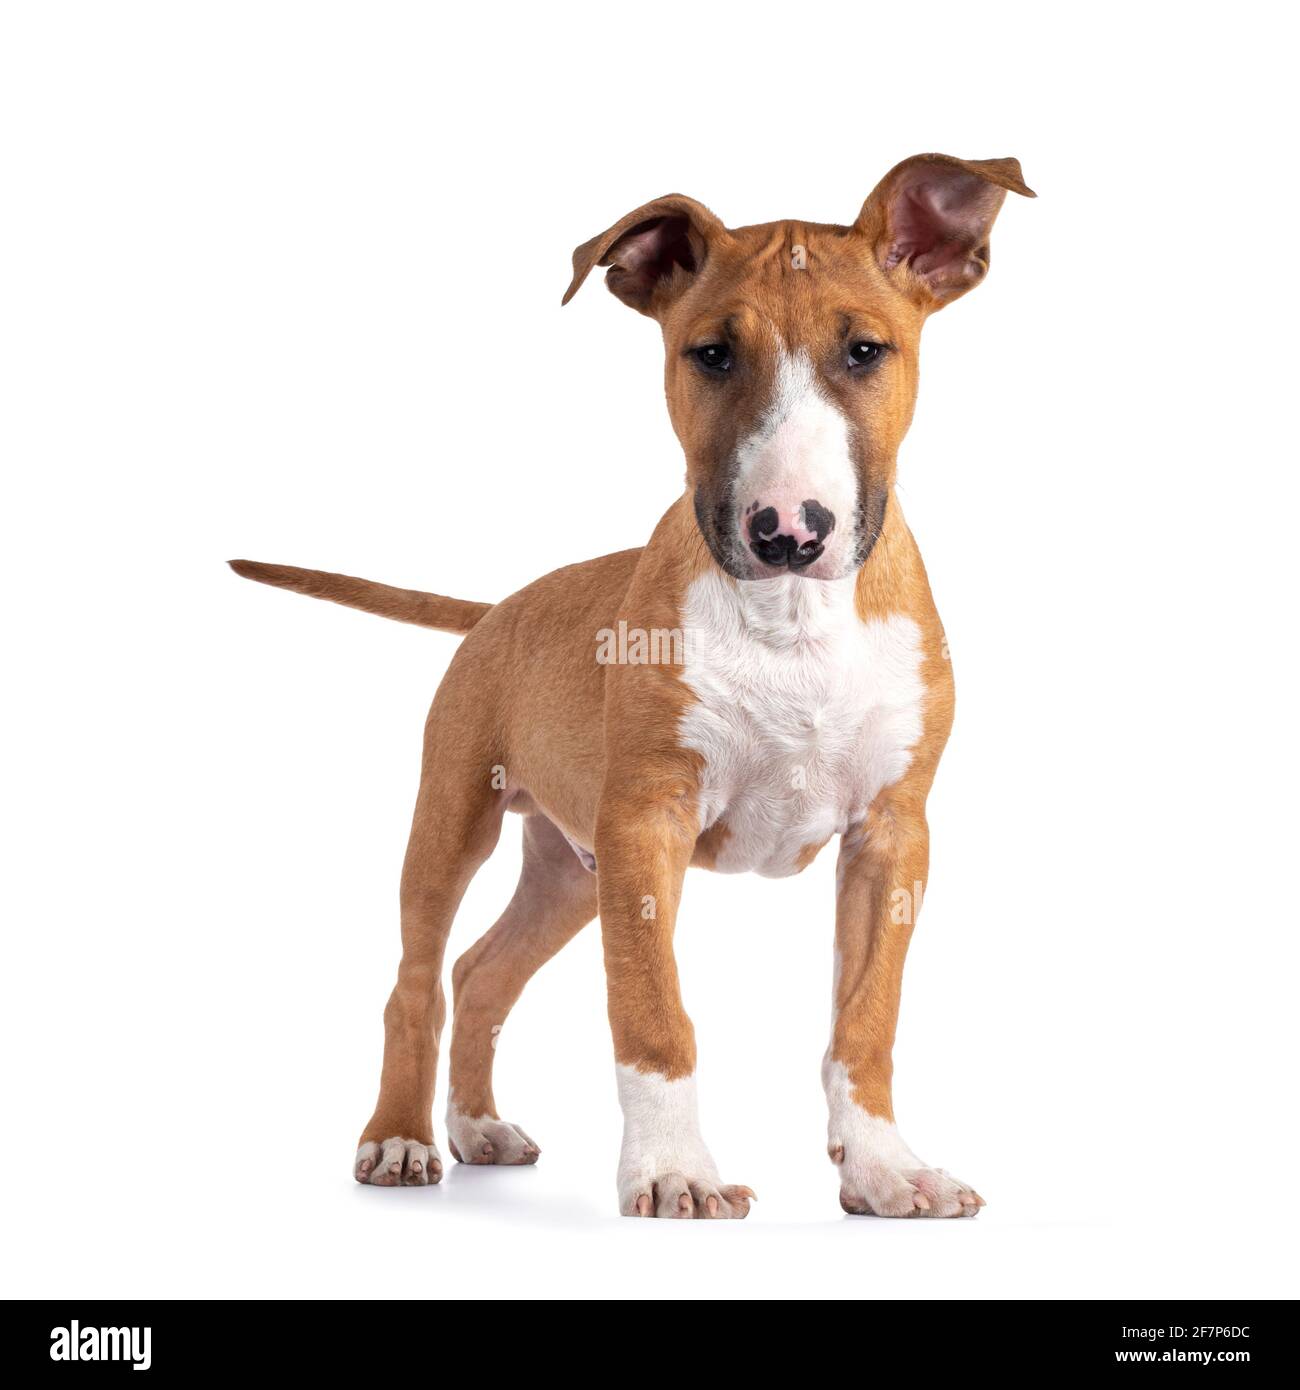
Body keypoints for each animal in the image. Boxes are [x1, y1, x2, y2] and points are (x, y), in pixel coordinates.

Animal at [229, 149, 1034, 1217]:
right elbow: (652, 1010)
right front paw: (674, 1173)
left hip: (572, 866)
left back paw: (478, 1126)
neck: (792, 623)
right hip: (458, 816)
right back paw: (400, 1140)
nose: (788, 530)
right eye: (710, 354)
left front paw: (887, 1170)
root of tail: (497, 608)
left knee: (483, 973)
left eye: (867, 351)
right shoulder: (647, 820)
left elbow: (866, 1020)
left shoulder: (892, 834)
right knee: (418, 978)